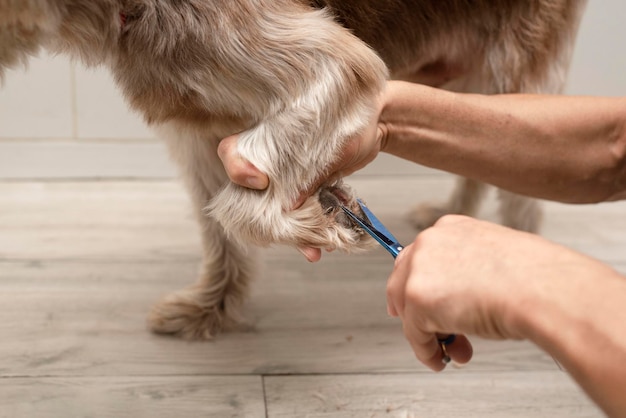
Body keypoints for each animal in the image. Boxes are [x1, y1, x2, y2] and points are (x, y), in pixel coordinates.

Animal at [0, 0, 584, 340]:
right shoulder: (196, 128)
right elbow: (217, 225)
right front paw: (211, 309)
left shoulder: (326, 63)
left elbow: (237, 209)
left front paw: (319, 224)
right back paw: (450, 212)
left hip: (514, 58)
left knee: (524, 171)